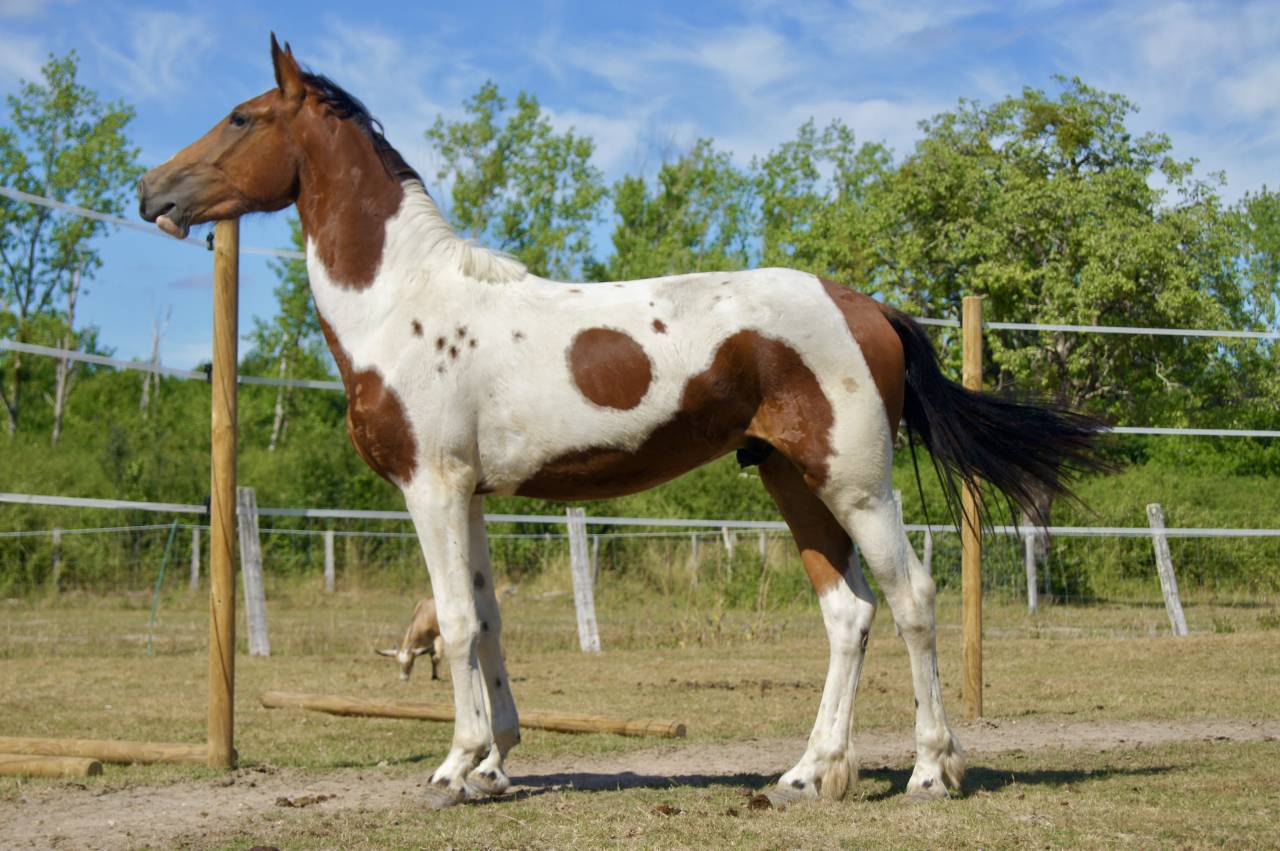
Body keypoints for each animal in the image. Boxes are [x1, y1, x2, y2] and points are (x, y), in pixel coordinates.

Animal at [138, 35, 1105, 808]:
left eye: (240, 116)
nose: (151, 192)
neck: (408, 303)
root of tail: (867, 306)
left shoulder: (432, 486)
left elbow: (452, 622)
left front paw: (455, 767)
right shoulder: (473, 493)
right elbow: (486, 617)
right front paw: (497, 761)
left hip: (857, 483)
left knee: (912, 601)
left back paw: (930, 771)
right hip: (793, 479)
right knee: (848, 613)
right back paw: (806, 775)